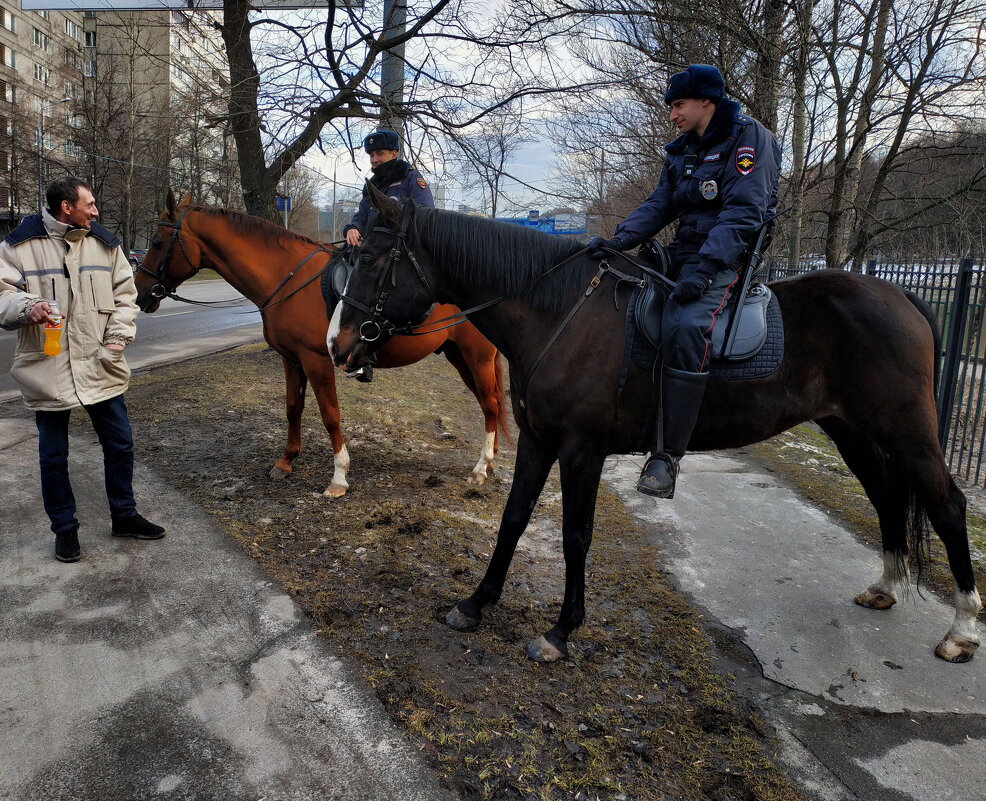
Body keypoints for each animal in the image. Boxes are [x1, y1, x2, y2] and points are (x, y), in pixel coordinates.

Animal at [135, 191, 504, 496]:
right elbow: (292, 408)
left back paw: (480, 469)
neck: (289, 279)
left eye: (157, 242)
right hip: (459, 357)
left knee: (490, 405)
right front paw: (286, 461)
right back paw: (490, 460)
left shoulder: (316, 360)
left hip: (477, 356)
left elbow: (330, 415)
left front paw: (339, 476)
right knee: (491, 405)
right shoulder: (290, 359)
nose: (140, 293)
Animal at [328, 186, 976, 664]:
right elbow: (513, 518)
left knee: (946, 505)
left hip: (906, 434)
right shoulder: (538, 440)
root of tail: (901, 297)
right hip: (853, 432)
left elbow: (576, 536)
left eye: (375, 260)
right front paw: (475, 603)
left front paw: (561, 632)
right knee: (888, 497)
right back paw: (886, 587)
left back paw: (962, 630)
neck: (558, 312)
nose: (338, 345)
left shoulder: (581, 450)